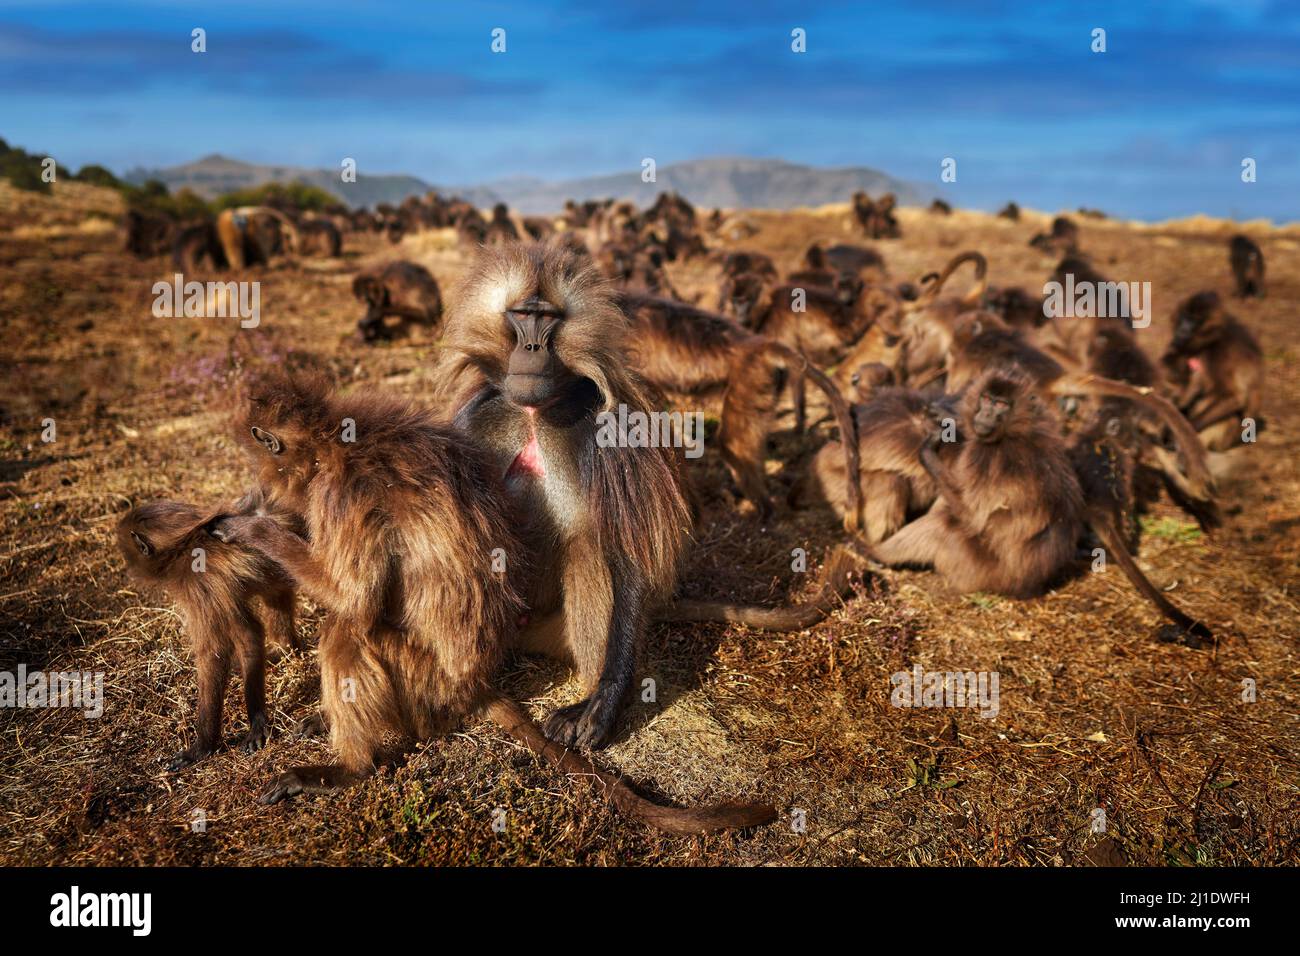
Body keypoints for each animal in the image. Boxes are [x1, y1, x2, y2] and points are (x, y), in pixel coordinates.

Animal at [114, 489, 301, 775]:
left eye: (128, 555)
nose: (127, 571)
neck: (182, 546)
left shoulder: (199, 582)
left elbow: (221, 649)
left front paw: (203, 747)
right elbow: (247, 635)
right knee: (275, 594)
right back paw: (285, 650)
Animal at [211, 369, 769, 832]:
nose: (259, 489)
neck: (334, 444)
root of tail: (476, 682)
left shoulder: (342, 494)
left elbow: (355, 598)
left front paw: (253, 529)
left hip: (428, 684)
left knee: (347, 629)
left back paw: (351, 769)